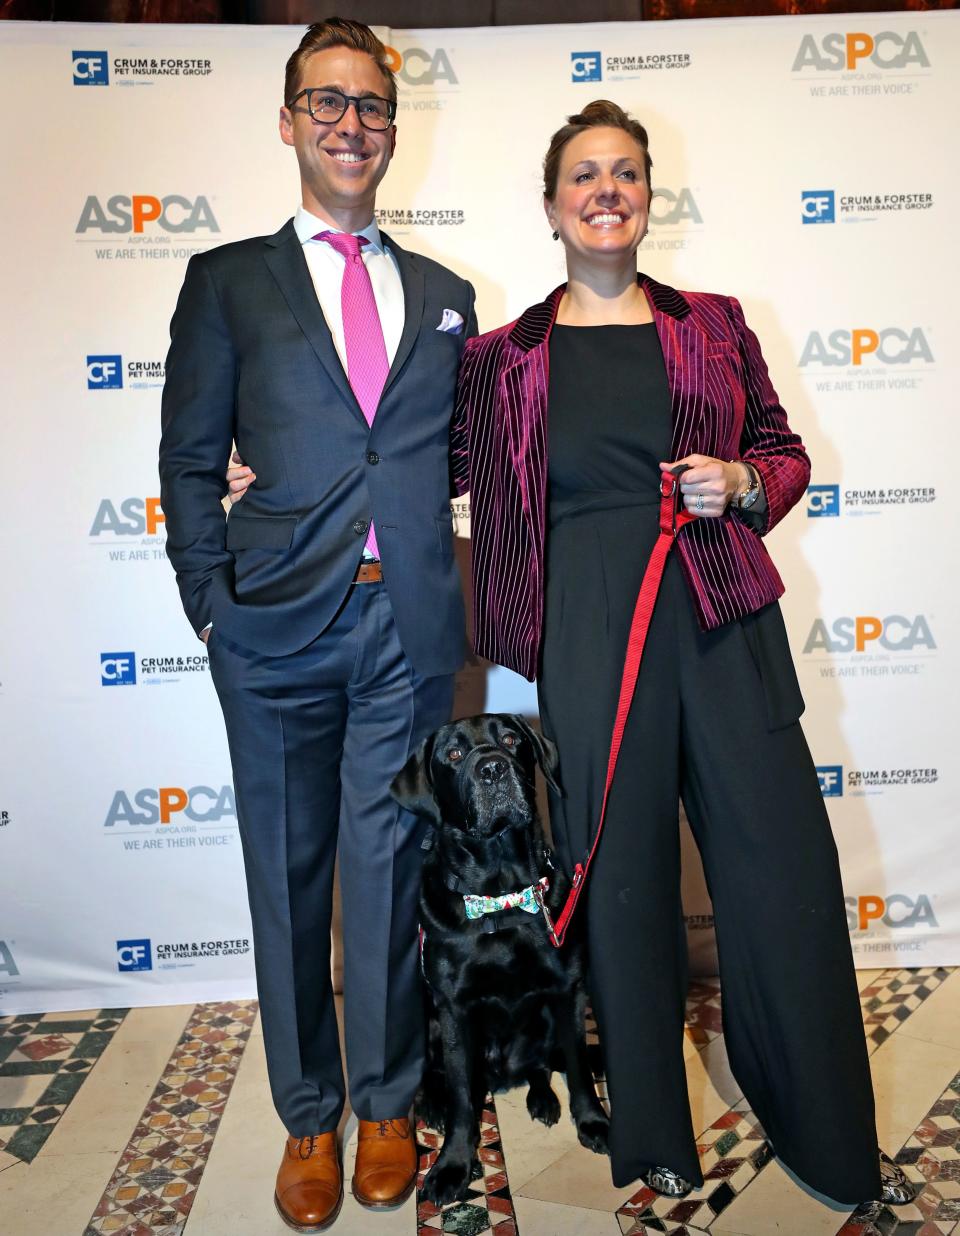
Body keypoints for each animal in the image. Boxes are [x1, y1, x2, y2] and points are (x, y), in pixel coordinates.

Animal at [390, 716, 607, 1206]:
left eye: (511, 740)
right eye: (452, 754)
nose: (492, 769)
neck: (501, 896)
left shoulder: (567, 991)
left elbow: (580, 1069)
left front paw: (593, 1122)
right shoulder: (452, 1010)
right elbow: (461, 1098)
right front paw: (452, 1165)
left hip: (541, 1022)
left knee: (542, 1066)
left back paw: (542, 1099)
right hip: (427, 1018)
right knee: (437, 1076)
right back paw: (432, 1105)